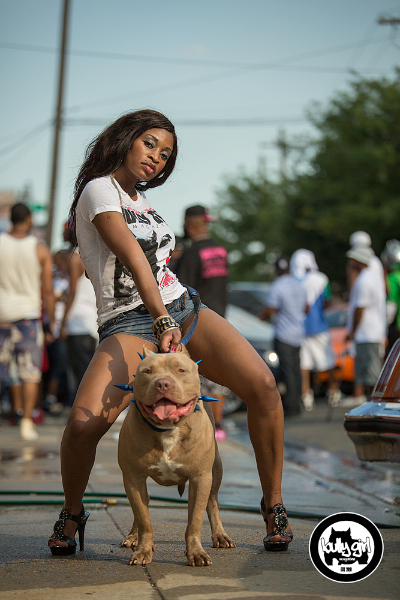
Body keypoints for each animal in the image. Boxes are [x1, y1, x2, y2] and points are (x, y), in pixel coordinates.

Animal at [116, 346, 234, 568]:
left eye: (180, 370)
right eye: (148, 371)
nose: (163, 383)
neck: (168, 430)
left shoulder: (200, 478)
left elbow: (194, 520)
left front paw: (195, 552)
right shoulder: (133, 478)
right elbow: (144, 519)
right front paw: (143, 550)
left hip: (216, 470)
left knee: (212, 502)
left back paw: (220, 535)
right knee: (141, 508)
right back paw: (134, 537)